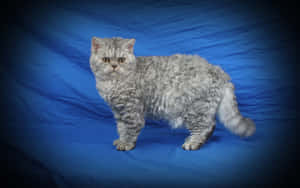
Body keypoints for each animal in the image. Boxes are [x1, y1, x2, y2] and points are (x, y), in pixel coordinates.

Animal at [89, 36, 255, 151]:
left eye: (121, 60)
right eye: (106, 59)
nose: (114, 66)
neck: (112, 85)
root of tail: (217, 69)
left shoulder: (131, 111)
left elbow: (130, 129)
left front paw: (127, 143)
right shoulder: (119, 111)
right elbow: (121, 128)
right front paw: (121, 139)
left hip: (195, 109)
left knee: (205, 126)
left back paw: (193, 142)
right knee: (212, 125)